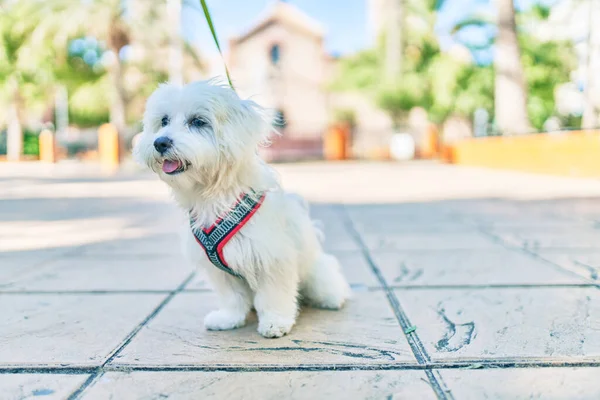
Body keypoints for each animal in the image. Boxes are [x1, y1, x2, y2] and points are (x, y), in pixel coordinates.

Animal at [135, 81, 352, 338]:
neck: (215, 194)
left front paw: (275, 322)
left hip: (316, 274)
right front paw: (229, 318)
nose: (160, 142)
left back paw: (332, 298)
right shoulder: (219, 270)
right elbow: (232, 298)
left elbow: (274, 296)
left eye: (198, 121)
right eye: (164, 120)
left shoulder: (271, 258)